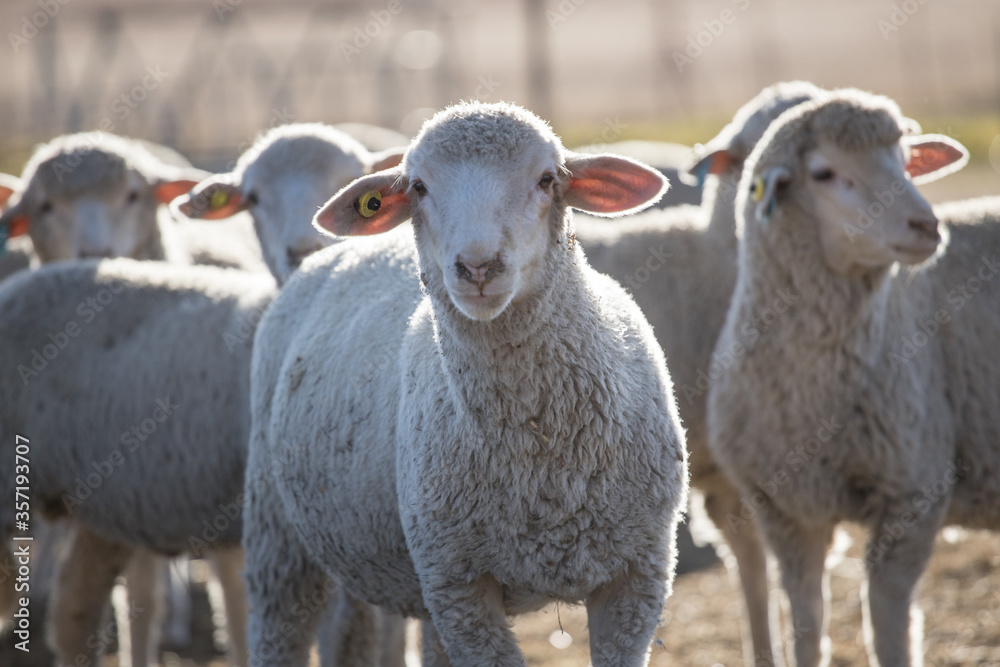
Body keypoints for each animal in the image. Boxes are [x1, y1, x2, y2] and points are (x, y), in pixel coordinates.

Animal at [242, 100, 687, 666]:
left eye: (547, 179)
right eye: (418, 187)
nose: (477, 267)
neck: (541, 464)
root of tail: (324, 256)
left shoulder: (638, 576)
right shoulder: (460, 588)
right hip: (277, 535)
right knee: (278, 628)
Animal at [706, 89, 982, 667]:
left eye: (905, 160)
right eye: (824, 173)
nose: (927, 226)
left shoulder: (913, 495)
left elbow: (888, 625)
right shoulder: (785, 511)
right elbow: (807, 625)